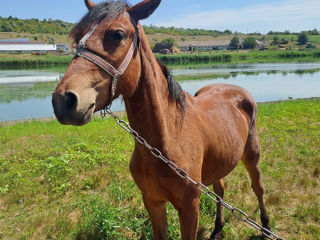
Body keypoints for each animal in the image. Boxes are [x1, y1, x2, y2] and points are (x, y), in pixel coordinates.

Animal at [51, 0, 272, 239]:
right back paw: (217, 229)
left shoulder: (189, 208)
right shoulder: (153, 201)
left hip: (251, 155)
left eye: (118, 34)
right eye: (77, 37)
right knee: (220, 190)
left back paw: (266, 227)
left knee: (258, 187)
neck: (169, 137)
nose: (64, 100)